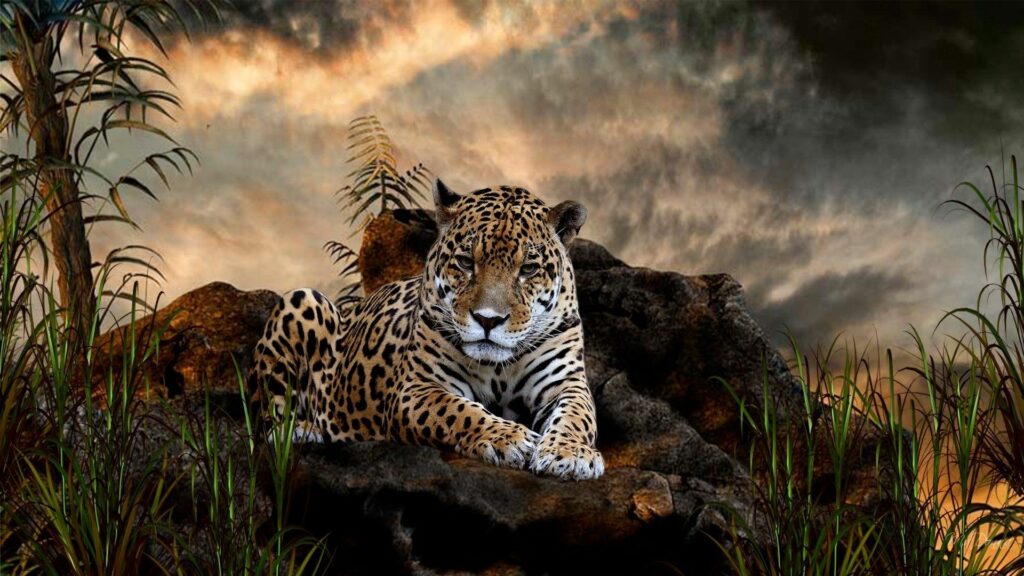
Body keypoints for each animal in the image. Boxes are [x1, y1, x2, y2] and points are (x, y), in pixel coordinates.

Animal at [249, 179, 603, 480]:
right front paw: (510, 438)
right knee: (267, 423)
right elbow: (459, 411)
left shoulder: (565, 382)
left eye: (528, 269)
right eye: (465, 262)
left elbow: (578, 415)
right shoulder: (417, 388)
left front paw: (570, 454)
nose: (488, 320)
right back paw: (304, 431)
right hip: (302, 299)